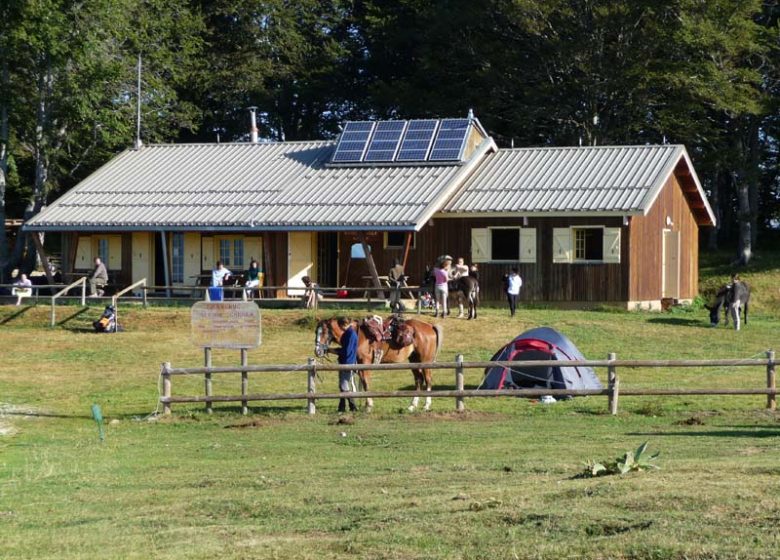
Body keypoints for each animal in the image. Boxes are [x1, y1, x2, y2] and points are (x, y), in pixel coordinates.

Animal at [312, 316, 444, 412]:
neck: (359, 335)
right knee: (418, 380)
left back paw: (426, 405)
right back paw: (412, 405)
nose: (318, 351)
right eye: (316, 332)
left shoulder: (365, 362)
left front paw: (368, 405)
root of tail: (430, 326)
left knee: (428, 380)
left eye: (324, 332)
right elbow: (361, 382)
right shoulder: (358, 363)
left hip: (425, 362)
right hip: (414, 360)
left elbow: (365, 382)